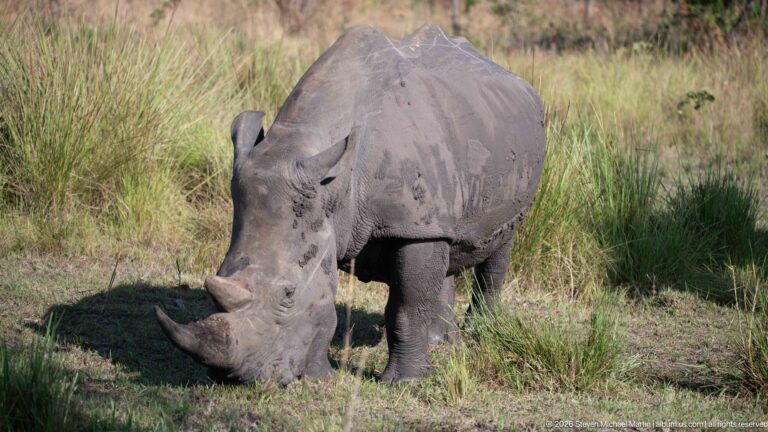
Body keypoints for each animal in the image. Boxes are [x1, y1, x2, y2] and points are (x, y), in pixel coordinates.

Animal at [155, 23, 545, 385]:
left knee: (500, 243)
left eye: (289, 294)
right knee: (448, 239)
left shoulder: (407, 224)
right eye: (219, 272)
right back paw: (440, 340)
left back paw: (480, 331)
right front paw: (320, 375)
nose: (237, 379)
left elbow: (407, 305)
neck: (334, 186)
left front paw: (404, 382)